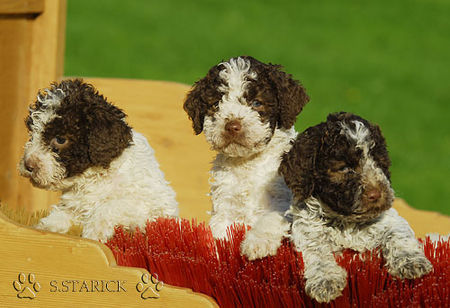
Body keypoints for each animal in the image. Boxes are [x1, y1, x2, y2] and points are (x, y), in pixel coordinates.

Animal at [19, 79, 178, 243]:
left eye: (60, 139)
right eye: (32, 134)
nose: (28, 165)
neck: (94, 178)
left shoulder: (150, 209)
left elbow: (110, 205)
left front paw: (95, 232)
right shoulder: (73, 204)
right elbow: (62, 214)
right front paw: (46, 227)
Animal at [184, 54, 310, 250]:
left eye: (256, 103)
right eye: (215, 104)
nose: (232, 126)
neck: (248, 163)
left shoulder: (284, 199)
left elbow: (271, 218)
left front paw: (256, 243)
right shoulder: (225, 205)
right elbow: (220, 235)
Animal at [278, 112, 432, 304]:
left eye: (379, 162)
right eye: (344, 168)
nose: (376, 194)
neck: (346, 221)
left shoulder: (390, 218)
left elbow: (397, 233)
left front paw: (410, 261)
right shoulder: (308, 228)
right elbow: (317, 248)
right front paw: (325, 280)